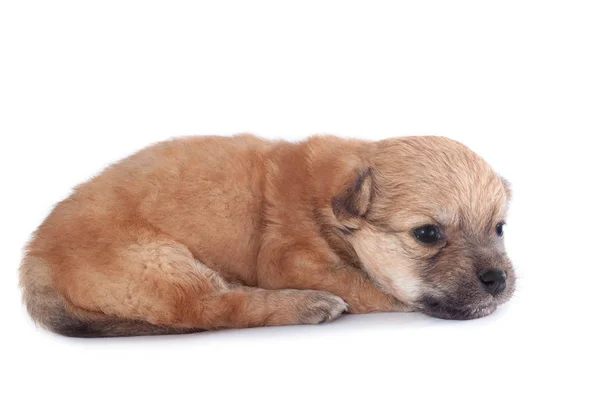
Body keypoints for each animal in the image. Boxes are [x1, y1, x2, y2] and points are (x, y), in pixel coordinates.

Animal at [19, 136, 516, 336]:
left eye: (499, 228)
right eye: (427, 233)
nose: (498, 281)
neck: (324, 208)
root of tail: (34, 259)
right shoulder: (289, 260)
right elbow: (372, 289)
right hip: (159, 263)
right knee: (216, 308)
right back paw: (306, 306)